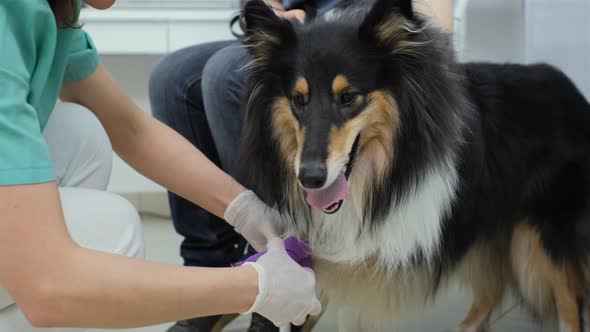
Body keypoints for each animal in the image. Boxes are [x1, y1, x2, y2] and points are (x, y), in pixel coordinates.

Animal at [235, 0, 590, 330]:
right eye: (298, 100)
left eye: (349, 97)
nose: (309, 178)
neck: (381, 176)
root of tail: (568, 88)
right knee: (492, 287)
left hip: (541, 234)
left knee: (569, 300)